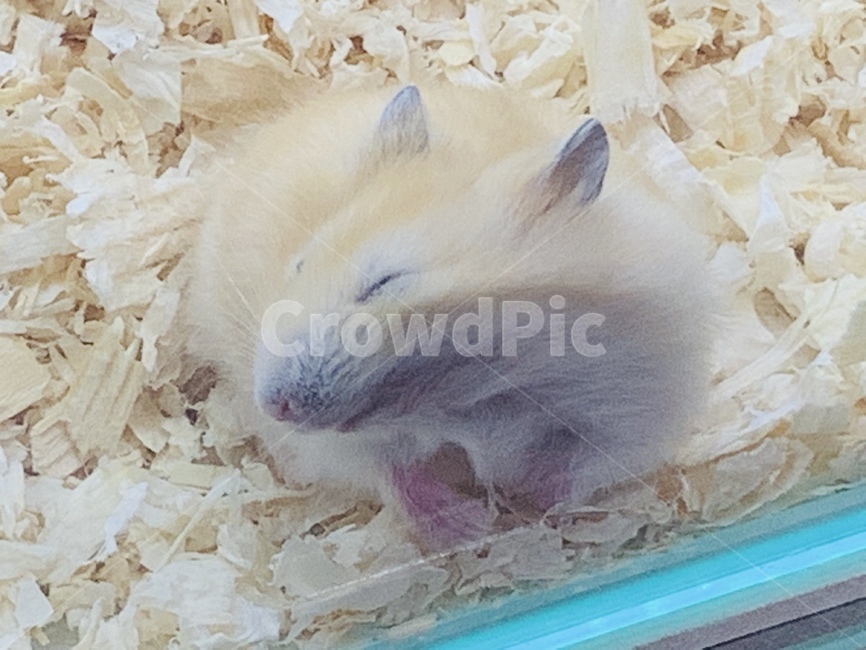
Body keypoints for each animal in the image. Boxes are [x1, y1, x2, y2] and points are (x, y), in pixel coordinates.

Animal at [185, 85, 711, 547]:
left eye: (385, 283)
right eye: (298, 264)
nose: (274, 405)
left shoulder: (637, 403)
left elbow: (584, 463)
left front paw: (522, 503)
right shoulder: (339, 447)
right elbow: (391, 472)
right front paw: (472, 526)